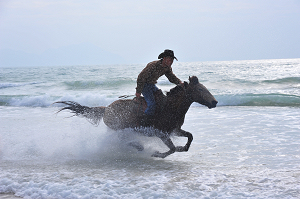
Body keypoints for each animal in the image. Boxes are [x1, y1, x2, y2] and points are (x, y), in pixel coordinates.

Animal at [55, 76, 217, 159]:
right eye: (200, 89)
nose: (214, 102)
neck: (171, 107)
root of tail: (106, 109)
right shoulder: (162, 133)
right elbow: (171, 149)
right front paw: (157, 153)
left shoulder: (174, 130)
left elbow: (190, 137)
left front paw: (182, 147)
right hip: (120, 128)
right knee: (120, 140)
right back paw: (139, 146)